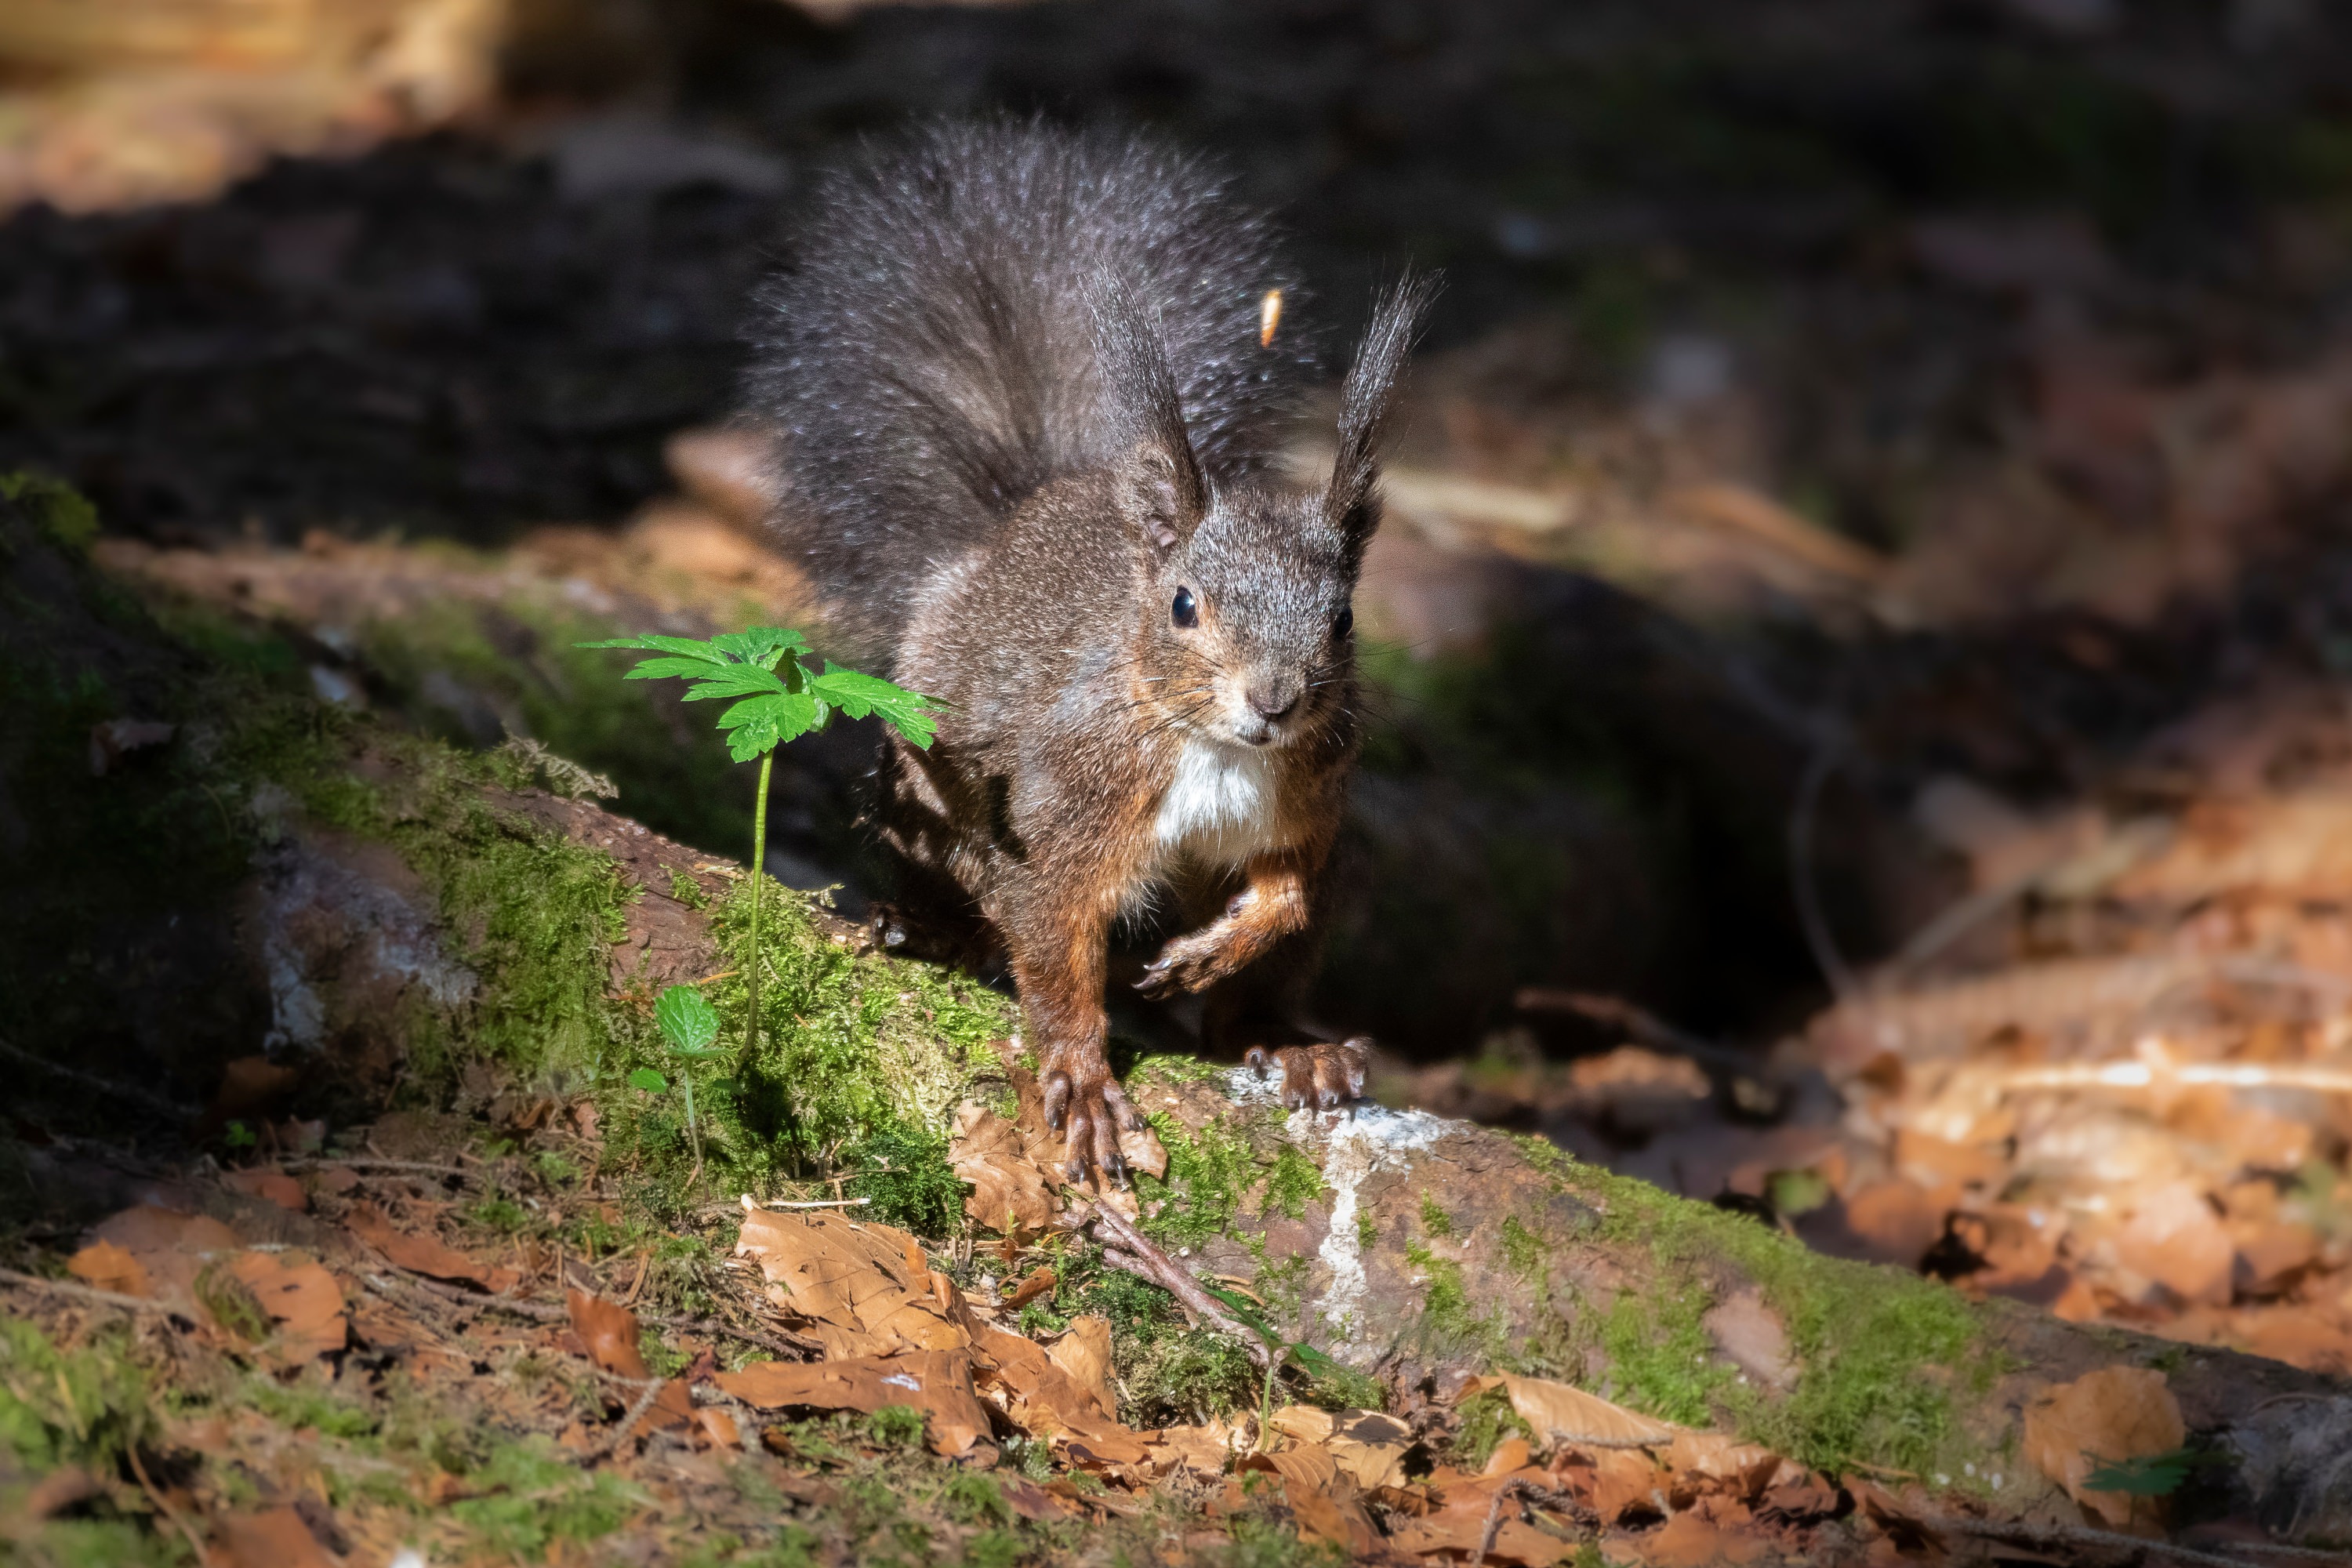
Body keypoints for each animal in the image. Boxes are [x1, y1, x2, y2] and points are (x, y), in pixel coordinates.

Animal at [748, 119, 1433, 1183]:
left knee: (1262, 988)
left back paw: (1286, 1041)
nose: (1275, 700)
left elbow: (1284, 890)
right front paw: (1080, 1076)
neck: (1215, 750)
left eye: (1344, 620)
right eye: (1184, 605)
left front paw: (1206, 953)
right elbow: (1057, 935)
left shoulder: (1312, 802)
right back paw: (930, 924)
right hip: (920, 771)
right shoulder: (1069, 805)